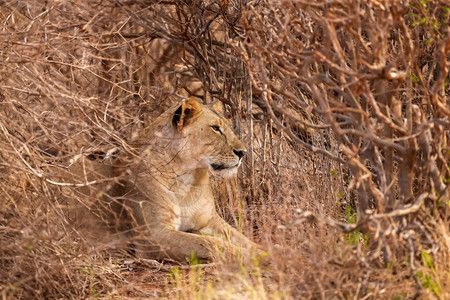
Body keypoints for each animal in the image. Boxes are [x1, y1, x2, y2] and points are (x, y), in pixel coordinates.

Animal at [68, 99, 262, 262]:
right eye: (215, 128)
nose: (243, 152)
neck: (187, 180)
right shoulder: (154, 237)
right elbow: (211, 243)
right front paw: (249, 257)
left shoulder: (209, 220)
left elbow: (242, 238)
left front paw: (263, 251)